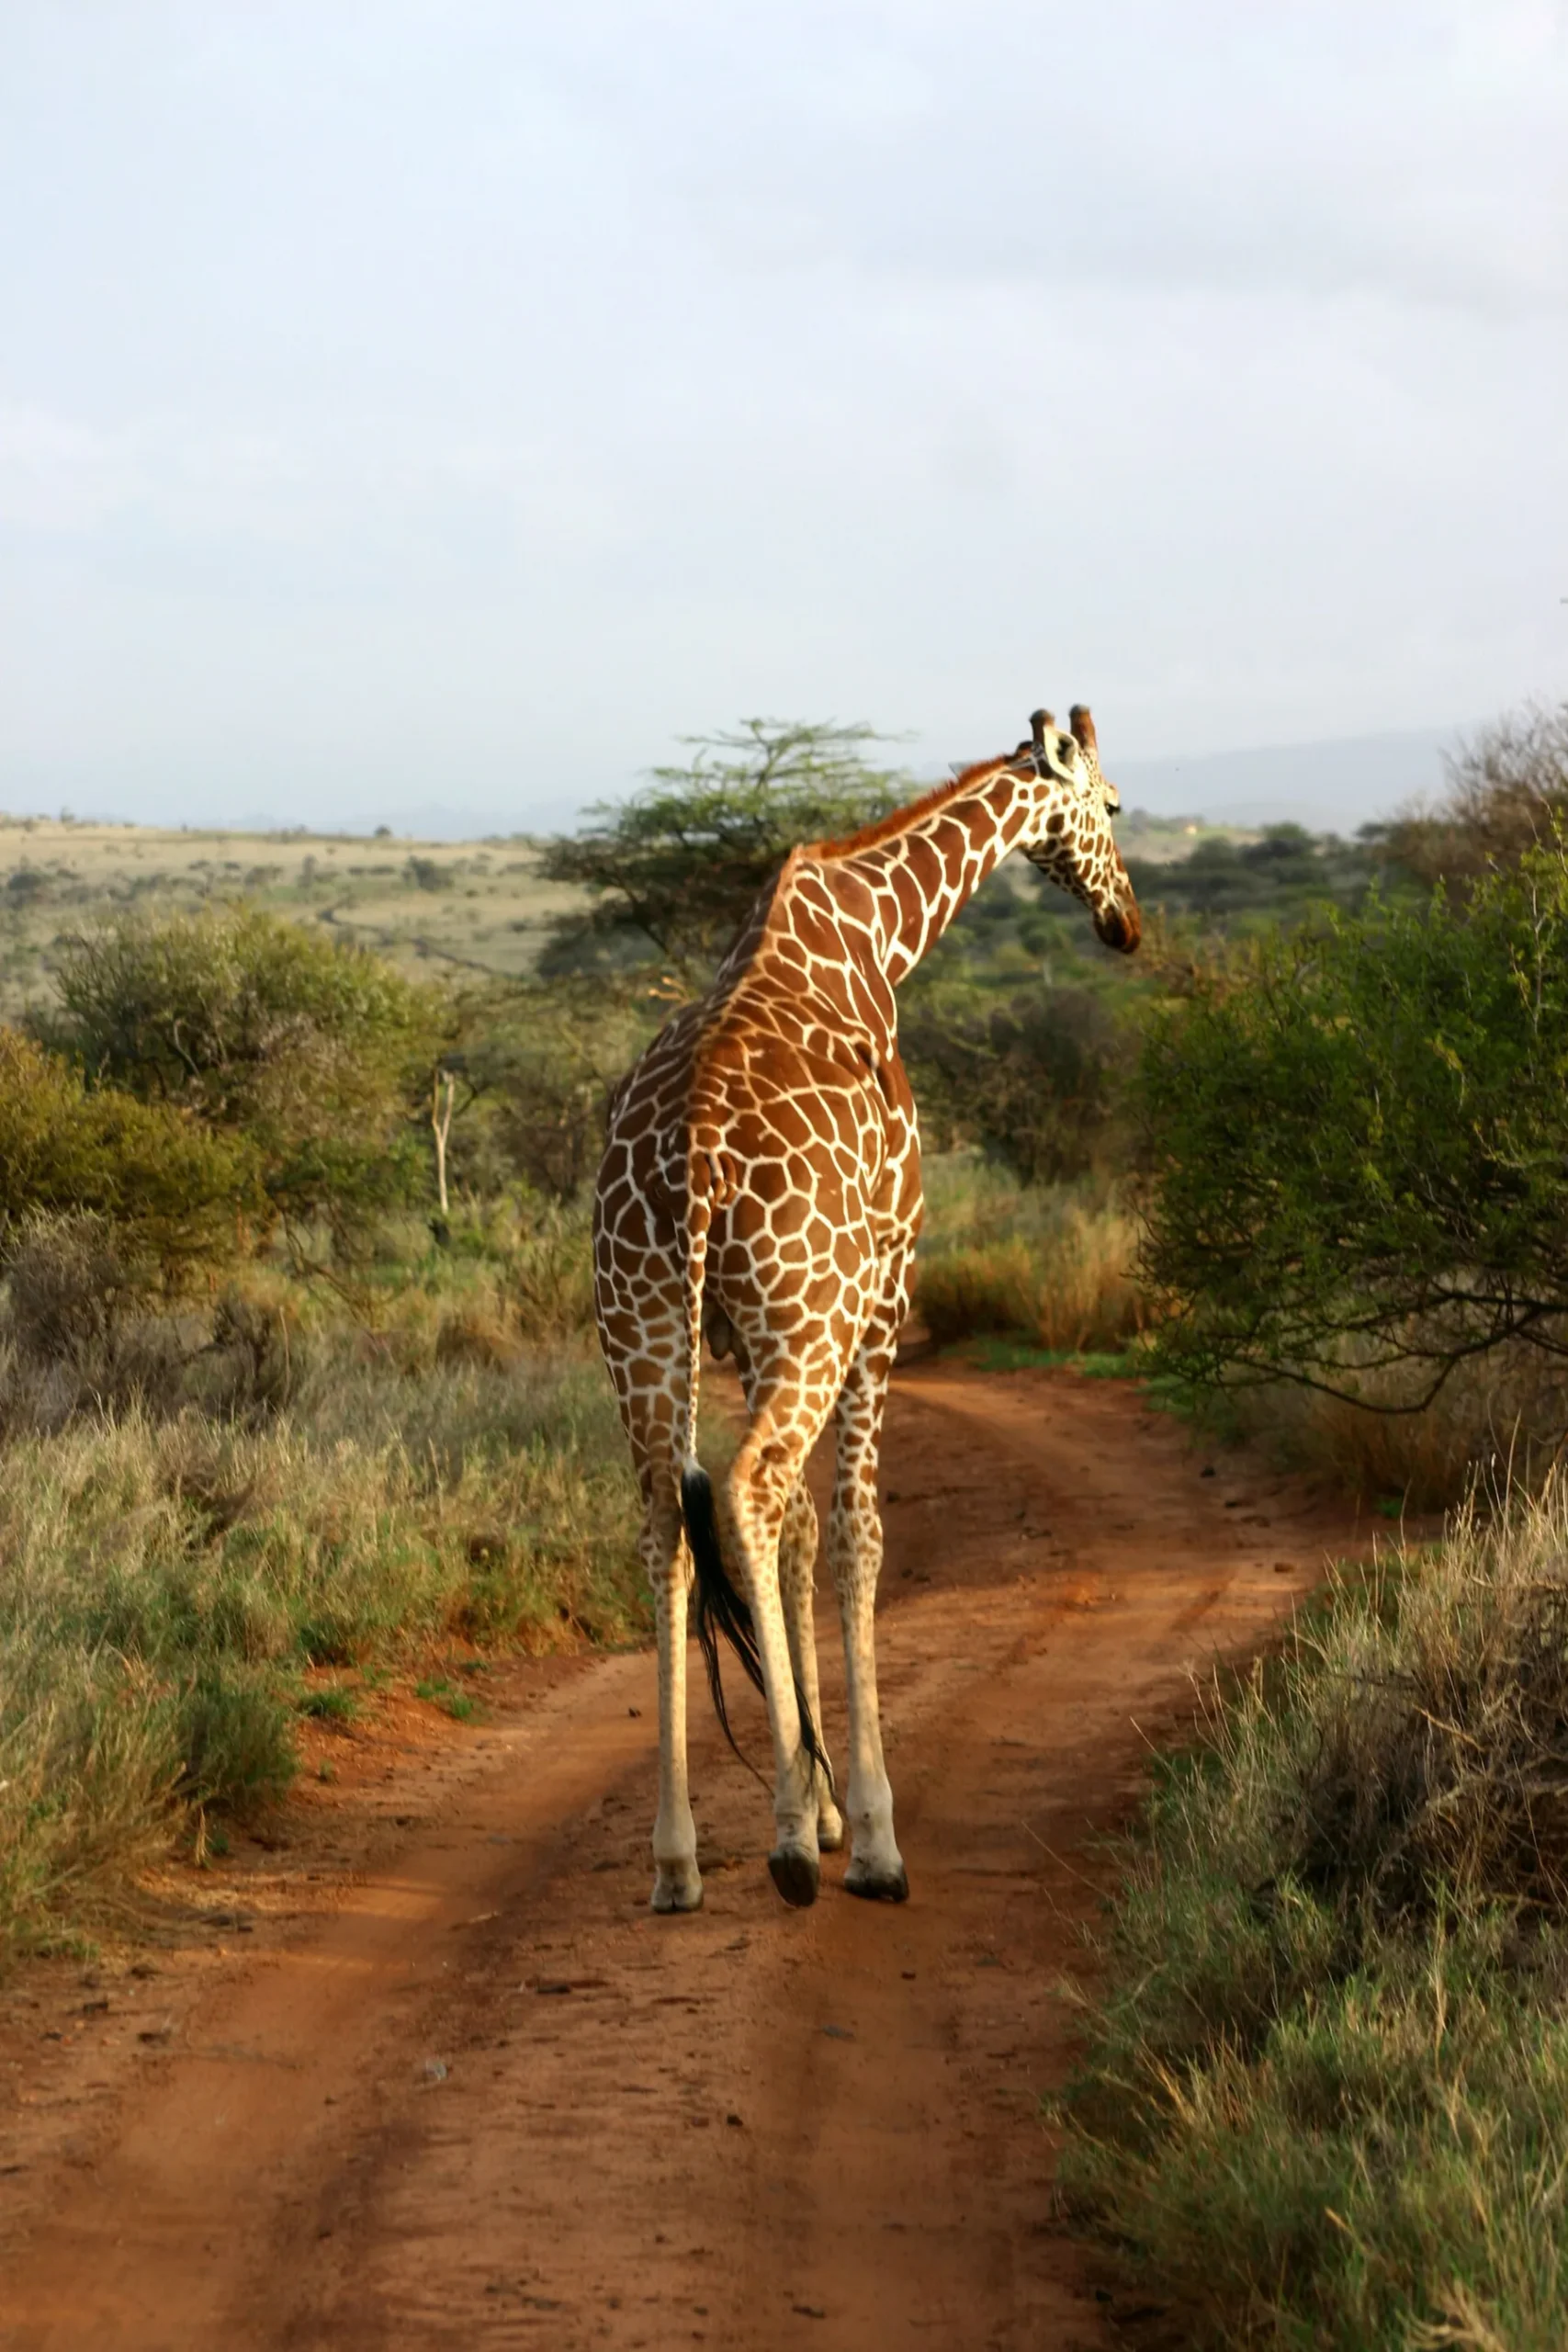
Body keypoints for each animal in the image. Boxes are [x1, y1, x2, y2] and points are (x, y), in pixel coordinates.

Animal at [592, 705, 1140, 1912]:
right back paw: (792, 1853)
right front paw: (865, 1828)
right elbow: (854, 1532)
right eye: (1115, 805)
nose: (1125, 920)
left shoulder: (753, 1334)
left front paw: (825, 1797)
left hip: (645, 1326)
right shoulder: (883, 1296)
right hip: (804, 1322)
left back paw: (675, 1856)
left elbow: (802, 1534)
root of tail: (693, 1158)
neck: (880, 931)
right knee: (749, 1489)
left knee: (669, 1520)